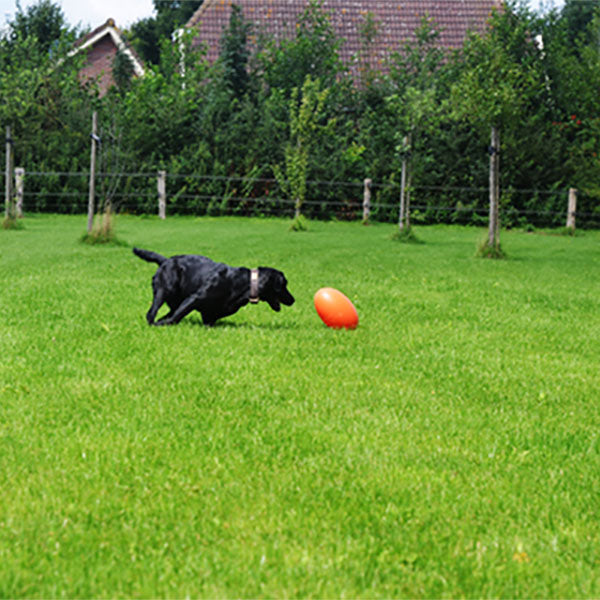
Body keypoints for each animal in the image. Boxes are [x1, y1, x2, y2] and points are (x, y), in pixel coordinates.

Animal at [135, 246, 296, 326]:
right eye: (284, 285)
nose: (293, 300)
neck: (244, 283)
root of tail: (166, 260)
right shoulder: (194, 298)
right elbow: (176, 317)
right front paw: (163, 324)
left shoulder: (210, 314)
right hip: (164, 291)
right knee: (151, 313)